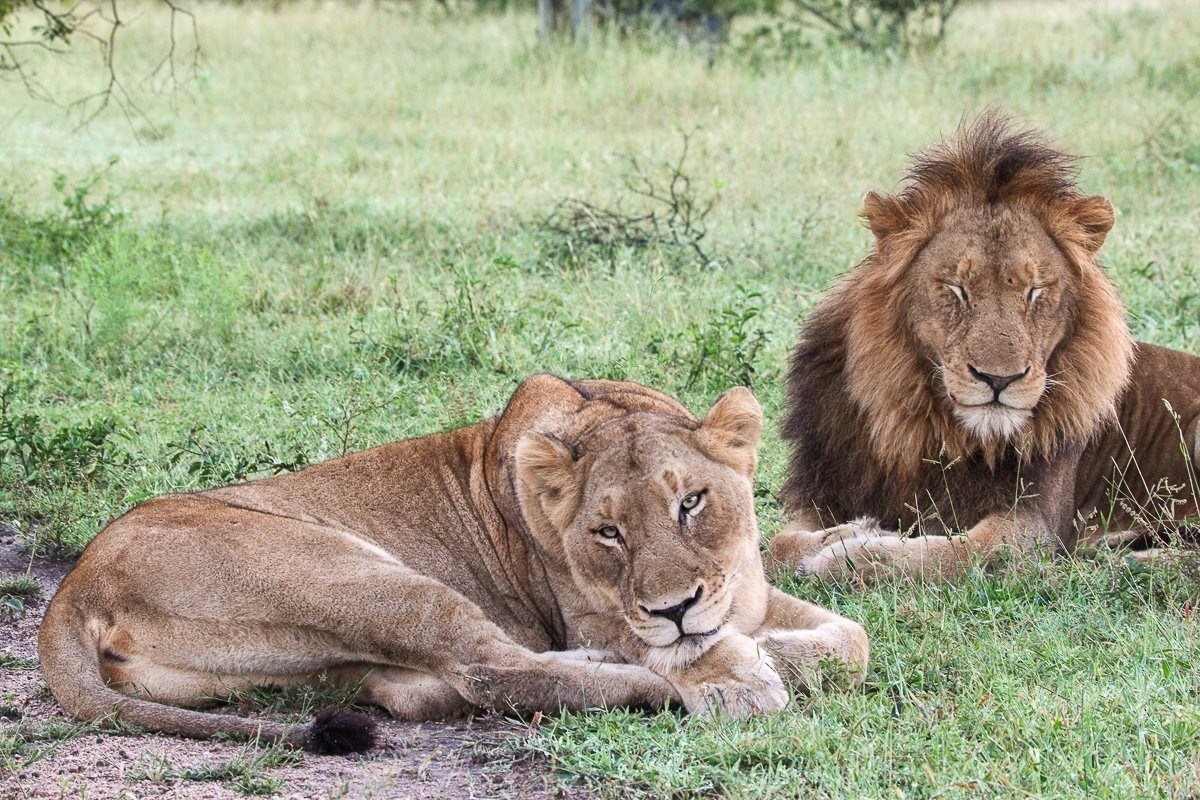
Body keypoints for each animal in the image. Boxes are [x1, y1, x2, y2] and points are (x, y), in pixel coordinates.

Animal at [39, 374, 868, 753]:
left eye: (692, 501)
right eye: (607, 532)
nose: (676, 608)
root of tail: (76, 583)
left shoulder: (747, 593)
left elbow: (850, 640)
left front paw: (778, 647)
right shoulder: (596, 612)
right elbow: (679, 649)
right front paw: (737, 674)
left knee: (424, 688)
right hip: (358, 574)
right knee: (490, 669)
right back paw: (663, 685)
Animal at [768, 112, 1200, 583]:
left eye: (1035, 291)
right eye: (957, 289)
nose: (999, 379)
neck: (928, 430)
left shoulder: (1034, 523)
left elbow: (954, 553)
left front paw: (851, 555)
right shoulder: (828, 490)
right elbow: (774, 546)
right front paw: (843, 534)